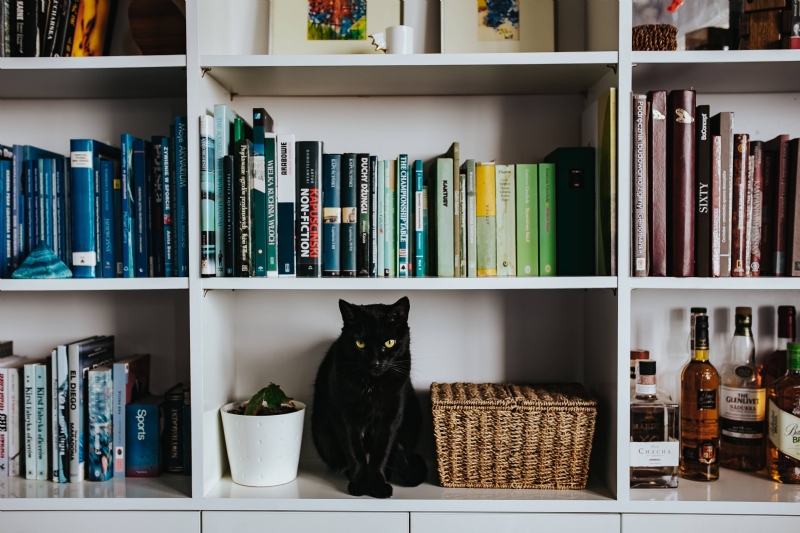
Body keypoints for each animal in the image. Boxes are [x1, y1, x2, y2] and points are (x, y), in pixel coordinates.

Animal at [310, 298, 424, 496]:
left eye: (389, 342)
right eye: (360, 343)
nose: (375, 363)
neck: (372, 385)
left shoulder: (392, 416)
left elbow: (382, 452)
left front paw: (378, 484)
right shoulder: (344, 415)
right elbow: (354, 452)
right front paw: (359, 483)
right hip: (322, 434)